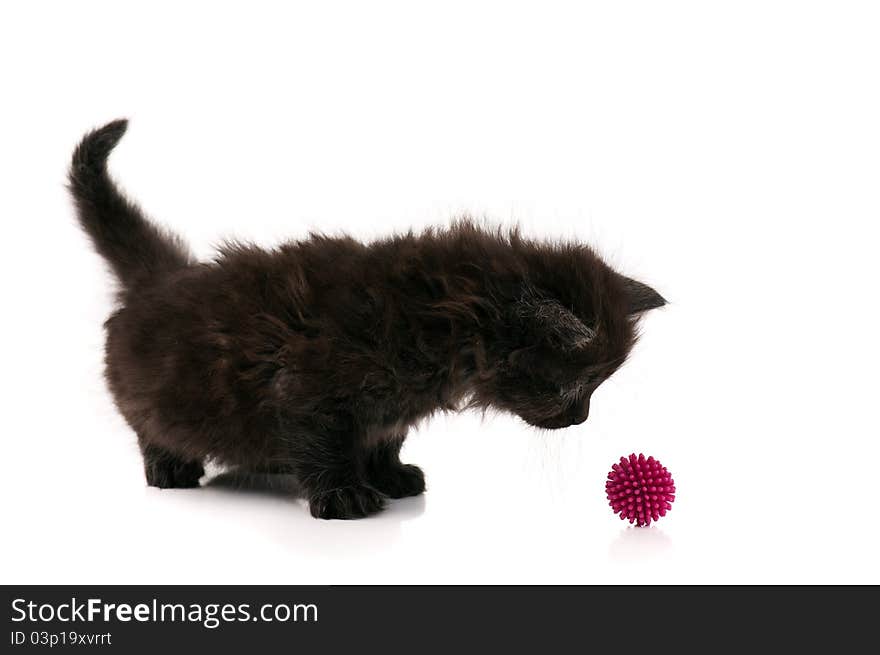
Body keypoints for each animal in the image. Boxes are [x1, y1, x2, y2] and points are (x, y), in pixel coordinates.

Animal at [69, 120, 664, 520]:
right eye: (581, 382)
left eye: (598, 386)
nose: (581, 419)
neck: (440, 324)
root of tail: (161, 278)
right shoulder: (305, 390)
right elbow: (323, 445)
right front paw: (343, 495)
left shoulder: (390, 411)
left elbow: (383, 439)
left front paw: (390, 476)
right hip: (157, 398)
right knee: (151, 428)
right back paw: (170, 469)